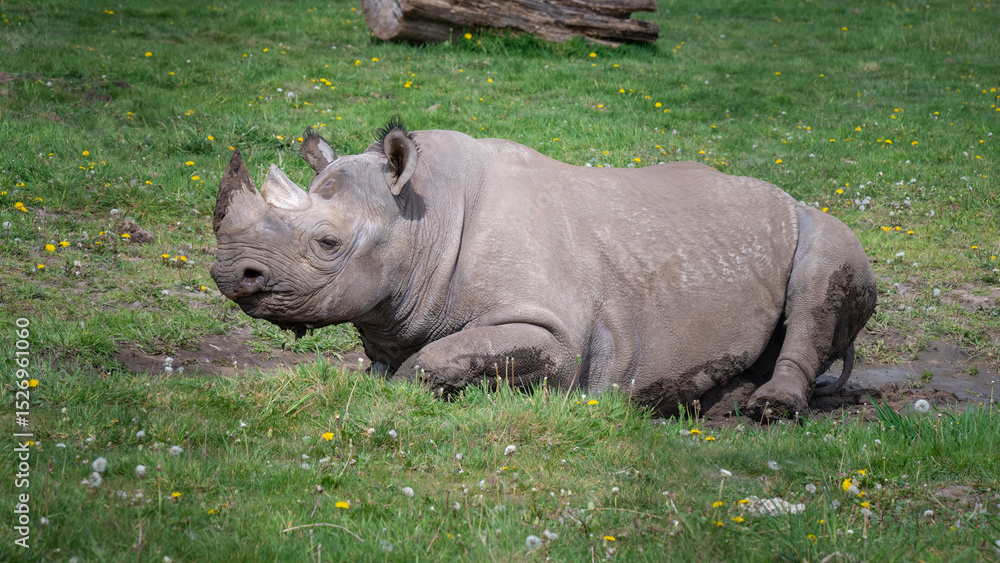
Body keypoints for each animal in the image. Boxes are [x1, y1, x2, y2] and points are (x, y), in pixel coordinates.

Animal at [211, 119, 877, 419]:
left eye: (328, 243)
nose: (230, 275)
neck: (424, 216)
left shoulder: (553, 334)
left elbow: (441, 357)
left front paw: (404, 391)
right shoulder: (392, 317)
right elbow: (398, 356)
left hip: (819, 224)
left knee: (821, 268)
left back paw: (768, 410)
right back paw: (713, 404)